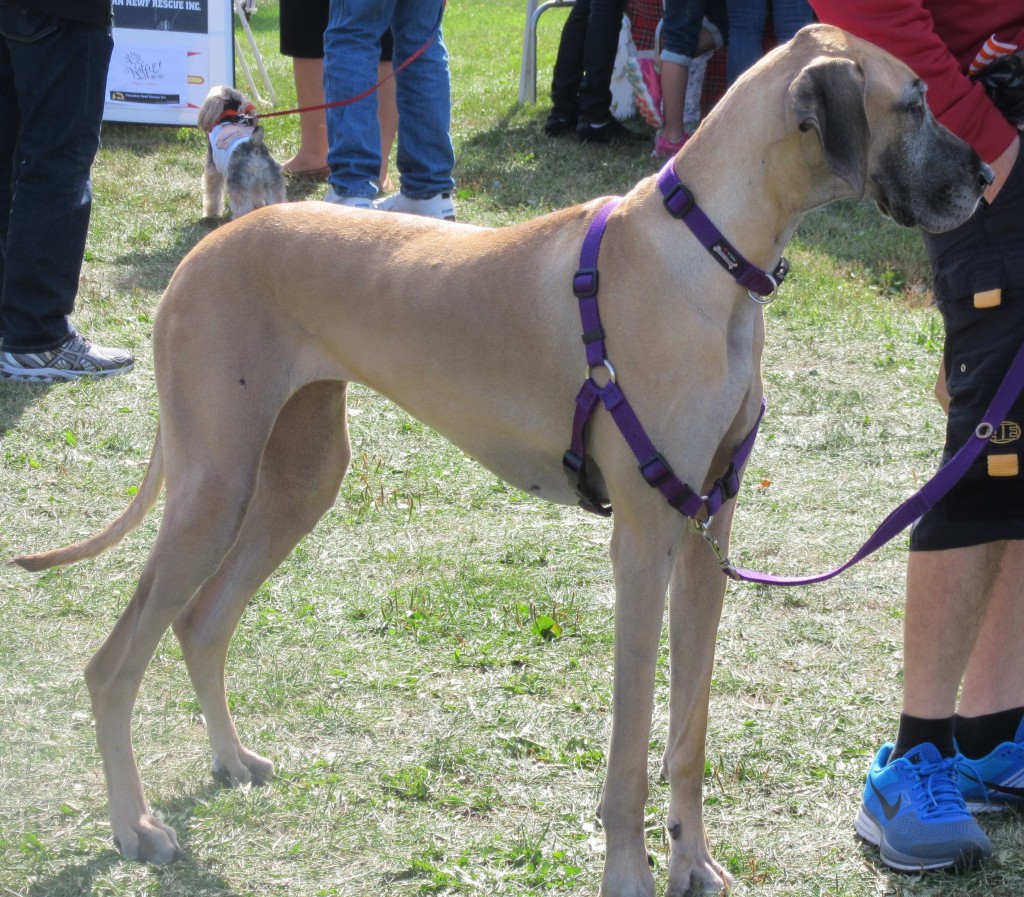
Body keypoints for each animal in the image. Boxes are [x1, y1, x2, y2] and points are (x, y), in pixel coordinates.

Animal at [196, 86, 286, 219]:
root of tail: (254, 145)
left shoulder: (212, 171)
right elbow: (257, 198)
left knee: (242, 209)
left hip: (239, 188)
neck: (229, 118)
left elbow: (212, 194)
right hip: (272, 182)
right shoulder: (255, 186)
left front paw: (210, 213)